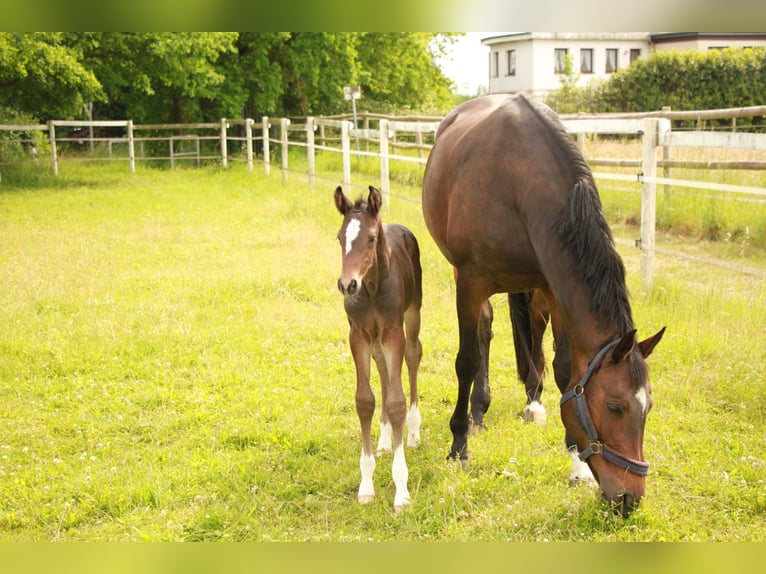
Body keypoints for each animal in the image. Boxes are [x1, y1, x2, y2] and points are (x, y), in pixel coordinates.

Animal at [334, 185, 423, 511]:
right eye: (340, 237)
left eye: (371, 238)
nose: (347, 285)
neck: (371, 288)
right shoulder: (358, 334)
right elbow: (365, 400)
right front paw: (366, 486)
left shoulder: (393, 332)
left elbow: (396, 401)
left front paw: (402, 491)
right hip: (375, 339)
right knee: (383, 368)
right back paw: (385, 439)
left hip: (413, 314)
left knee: (413, 355)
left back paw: (413, 432)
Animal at [421, 94, 665, 517]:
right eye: (615, 407)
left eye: (647, 407)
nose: (629, 499)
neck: (516, 181)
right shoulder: (469, 281)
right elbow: (466, 360)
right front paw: (458, 447)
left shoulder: (552, 285)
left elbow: (566, 369)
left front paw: (577, 465)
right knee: (483, 330)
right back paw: (476, 413)